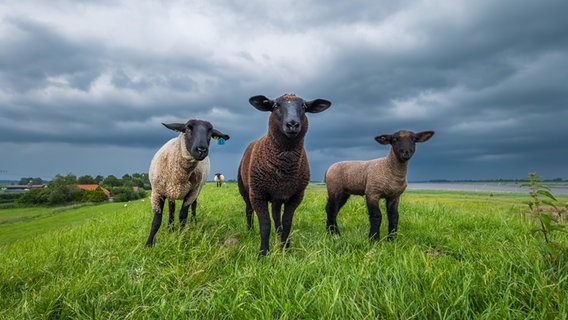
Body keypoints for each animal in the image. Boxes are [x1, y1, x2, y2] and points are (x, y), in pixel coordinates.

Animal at [237, 92, 330, 255]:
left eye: (304, 106)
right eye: (275, 105)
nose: (292, 124)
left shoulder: (296, 195)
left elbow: (286, 222)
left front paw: (285, 247)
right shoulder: (258, 195)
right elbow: (265, 224)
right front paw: (263, 253)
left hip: (277, 196)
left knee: (276, 215)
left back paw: (278, 234)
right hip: (246, 190)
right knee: (248, 210)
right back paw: (249, 230)